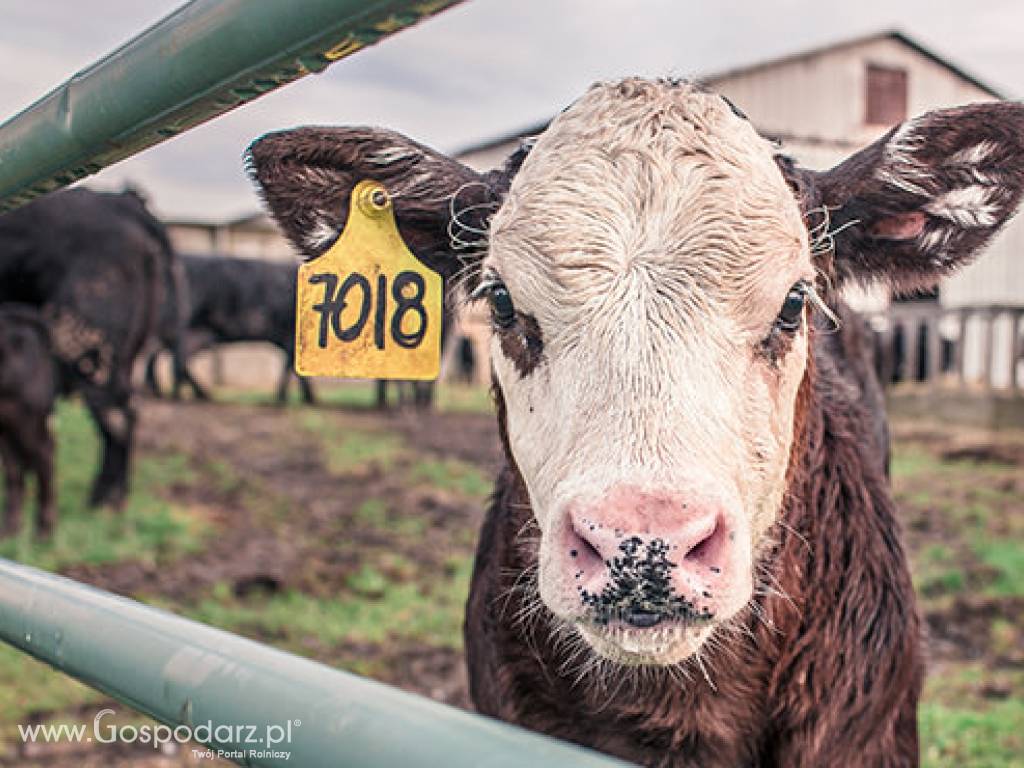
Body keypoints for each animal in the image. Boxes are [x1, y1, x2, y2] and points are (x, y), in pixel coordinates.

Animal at [143, 256, 311, 405]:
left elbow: (293, 367)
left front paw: (304, 399)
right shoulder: (290, 336)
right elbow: (291, 367)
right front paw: (292, 399)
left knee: (166, 355)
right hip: (185, 328)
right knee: (171, 357)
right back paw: (178, 395)